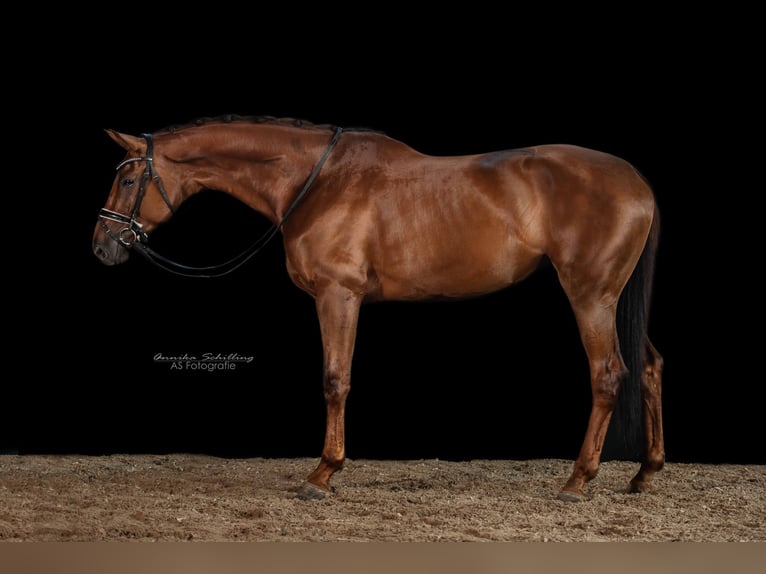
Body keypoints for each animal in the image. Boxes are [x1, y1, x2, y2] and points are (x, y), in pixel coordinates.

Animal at [93, 115, 664, 502]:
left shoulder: (338, 294)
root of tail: (637, 181)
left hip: (590, 296)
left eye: (127, 179)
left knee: (609, 374)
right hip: (613, 299)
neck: (317, 182)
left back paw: (578, 480)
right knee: (649, 368)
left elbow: (335, 380)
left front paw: (323, 473)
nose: (102, 245)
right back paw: (645, 472)